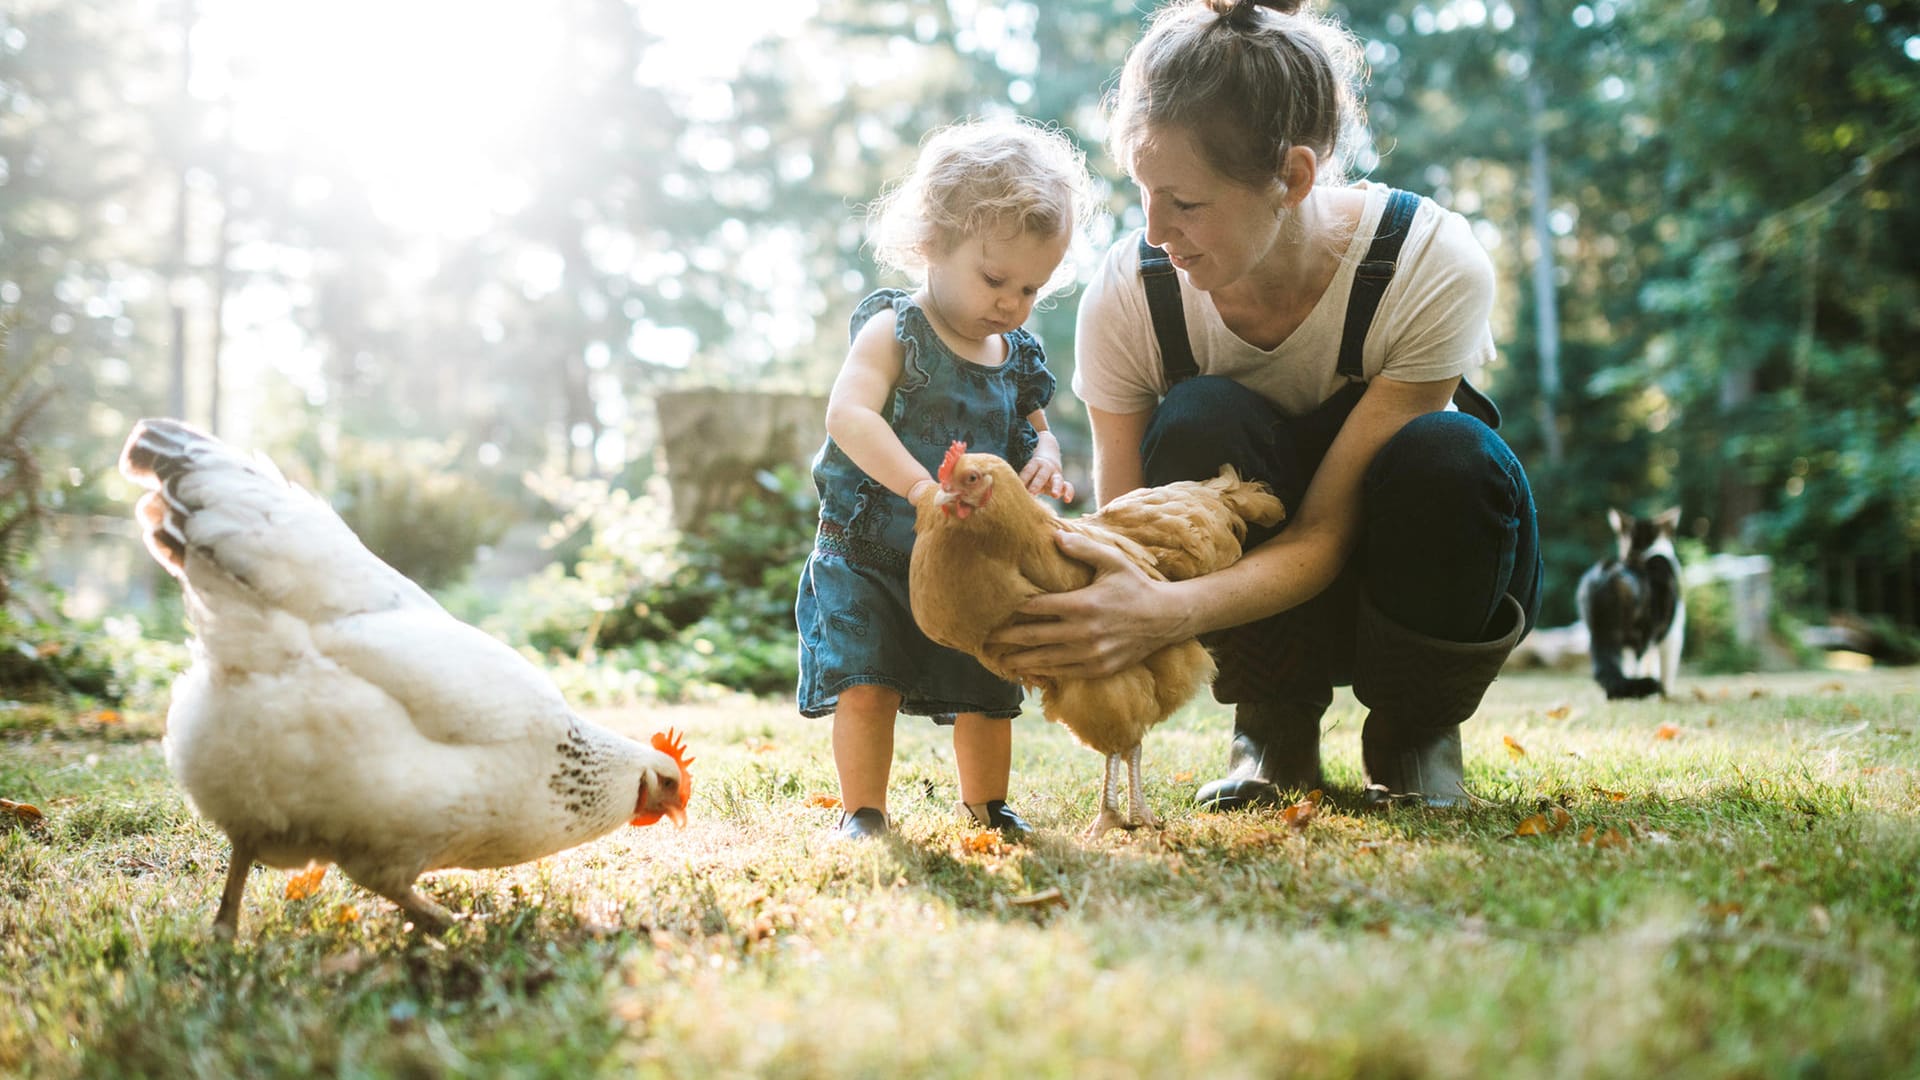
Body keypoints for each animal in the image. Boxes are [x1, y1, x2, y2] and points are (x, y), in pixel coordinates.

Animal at [1574, 503, 1681, 699]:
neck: (1642, 551)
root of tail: (1607, 572)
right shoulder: (1672, 633)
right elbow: (1665, 667)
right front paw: (1664, 692)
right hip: (1641, 634)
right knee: (1636, 665)